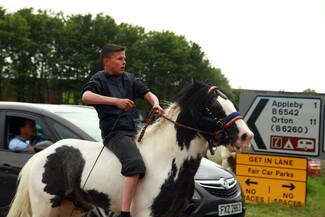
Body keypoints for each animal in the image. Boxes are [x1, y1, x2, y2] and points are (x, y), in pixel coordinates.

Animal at [6, 80, 252, 217]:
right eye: (213, 107)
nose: (245, 135)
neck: (167, 160)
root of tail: (42, 154)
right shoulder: (145, 213)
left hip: (74, 207)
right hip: (45, 206)